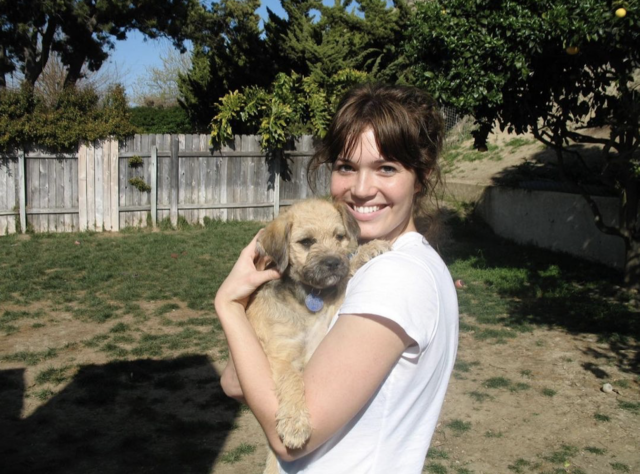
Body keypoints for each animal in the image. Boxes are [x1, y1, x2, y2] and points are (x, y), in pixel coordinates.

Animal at [248, 198, 390, 472]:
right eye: (306, 242)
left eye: (339, 237)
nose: (333, 262)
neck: (309, 295)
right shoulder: (282, 355)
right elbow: (292, 381)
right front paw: (295, 423)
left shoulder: (326, 326)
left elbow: (343, 281)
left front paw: (369, 248)